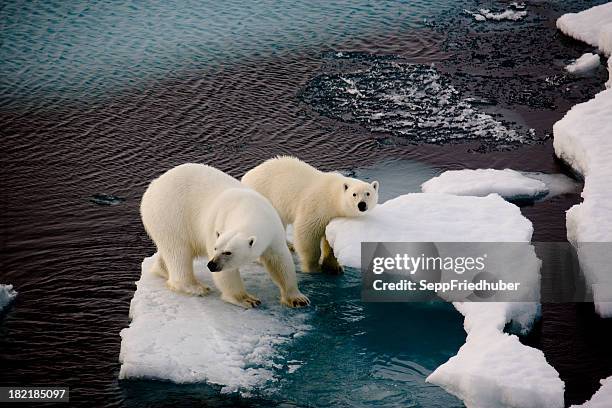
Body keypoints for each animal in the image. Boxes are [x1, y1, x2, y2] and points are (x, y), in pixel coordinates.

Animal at [140, 161, 308, 308]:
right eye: (216, 249)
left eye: (228, 252)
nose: (211, 265)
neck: (249, 209)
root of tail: (152, 187)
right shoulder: (217, 224)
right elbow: (228, 275)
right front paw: (247, 299)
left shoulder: (273, 229)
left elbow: (280, 261)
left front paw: (297, 299)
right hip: (170, 214)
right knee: (178, 252)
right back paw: (196, 287)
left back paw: (162, 269)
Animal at [243, 156, 378, 274]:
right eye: (354, 194)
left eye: (368, 193)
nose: (362, 205)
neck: (332, 196)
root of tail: (246, 177)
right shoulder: (317, 207)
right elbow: (307, 234)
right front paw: (313, 268)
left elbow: (330, 239)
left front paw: (334, 267)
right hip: (264, 197)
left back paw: (289, 246)